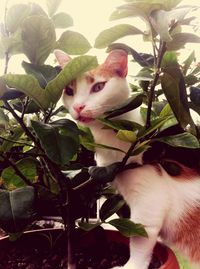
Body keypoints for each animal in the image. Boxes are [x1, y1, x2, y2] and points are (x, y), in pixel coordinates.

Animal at [54, 48, 200, 268]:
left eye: (98, 87)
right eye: (69, 91)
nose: (78, 107)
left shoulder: (149, 202)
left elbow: (140, 238)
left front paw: (131, 265)